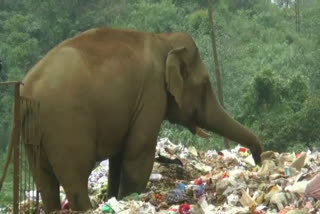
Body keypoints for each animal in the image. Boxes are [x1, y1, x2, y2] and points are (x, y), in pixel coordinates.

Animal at [17, 27, 262, 212]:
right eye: (204, 85)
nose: (258, 162)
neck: (164, 39)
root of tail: (28, 92)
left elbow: (118, 159)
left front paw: (114, 199)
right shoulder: (151, 93)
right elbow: (138, 153)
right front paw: (128, 199)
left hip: (33, 135)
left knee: (45, 183)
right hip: (66, 125)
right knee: (75, 179)